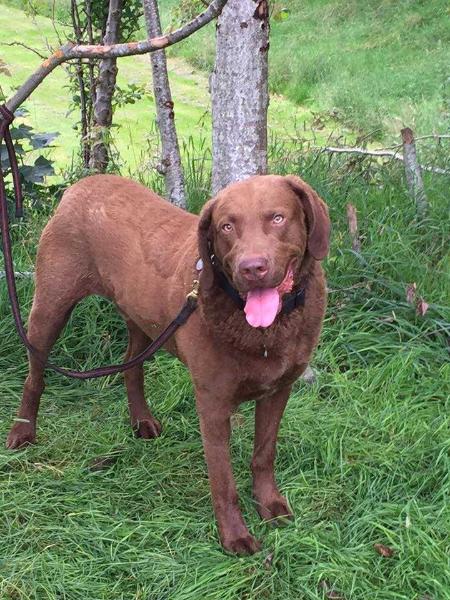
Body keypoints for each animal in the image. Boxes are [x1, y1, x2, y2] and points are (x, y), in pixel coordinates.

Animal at [6, 172, 330, 552]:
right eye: (226, 226)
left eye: (277, 218)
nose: (252, 268)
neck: (264, 332)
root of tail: (82, 184)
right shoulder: (212, 403)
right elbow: (223, 481)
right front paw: (234, 535)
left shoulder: (278, 390)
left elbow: (264, 455)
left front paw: (269, 504)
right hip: (50, 306)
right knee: (35, 376)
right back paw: (22, 432)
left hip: (143, 319)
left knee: (131, 366)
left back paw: (141, 421)